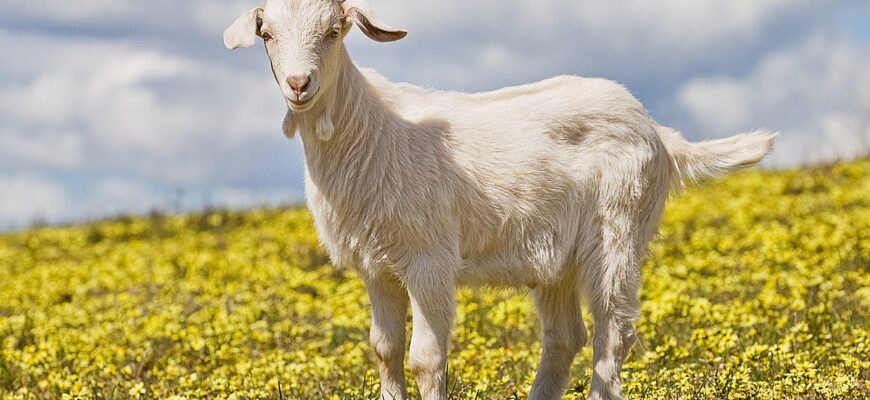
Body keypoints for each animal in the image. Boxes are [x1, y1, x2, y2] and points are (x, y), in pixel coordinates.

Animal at [224, 1, 776, 399]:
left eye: (334, 30)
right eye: (267, 34)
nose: (299, 84)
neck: (372, 130)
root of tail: (658, 133)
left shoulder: (429, 259)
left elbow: (426, 358)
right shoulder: (376, 266)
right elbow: (384, 350)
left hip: (620, 231)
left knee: (612, 331)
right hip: (557, 259)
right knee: (564, 337)